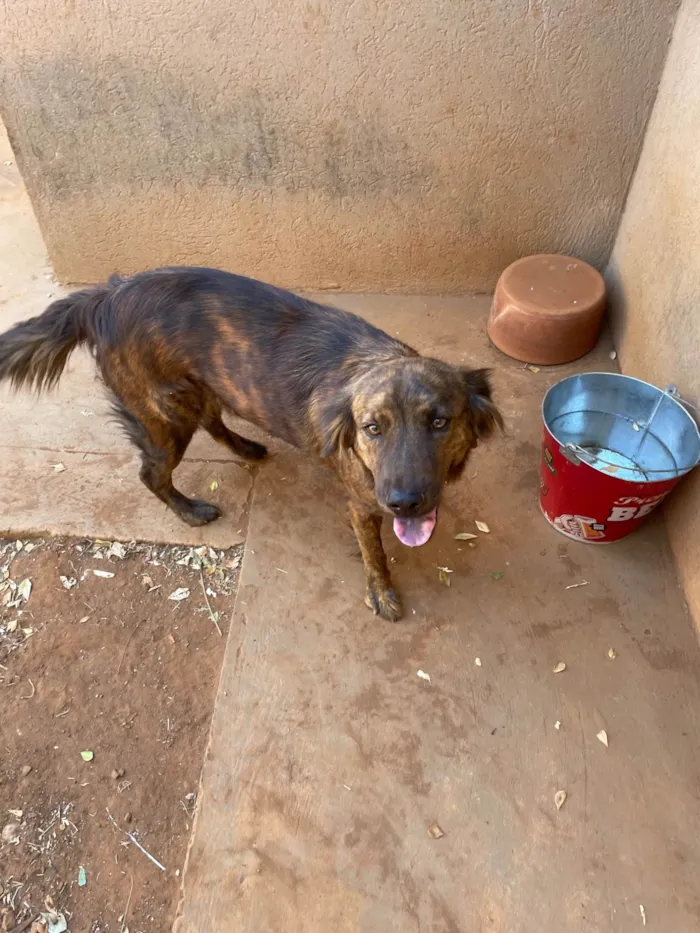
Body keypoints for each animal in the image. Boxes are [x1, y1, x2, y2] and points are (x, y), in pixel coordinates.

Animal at [0, 268, 504, 620]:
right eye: (372, 428)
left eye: (438, 421)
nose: (404, 502)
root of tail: (105, 295)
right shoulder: (362, 502)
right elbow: (375, 554)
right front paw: (381, 593)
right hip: (165, 416)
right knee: (151, 472)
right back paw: (190, 510)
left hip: (199, 390)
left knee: (212, 420)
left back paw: (246, 448)